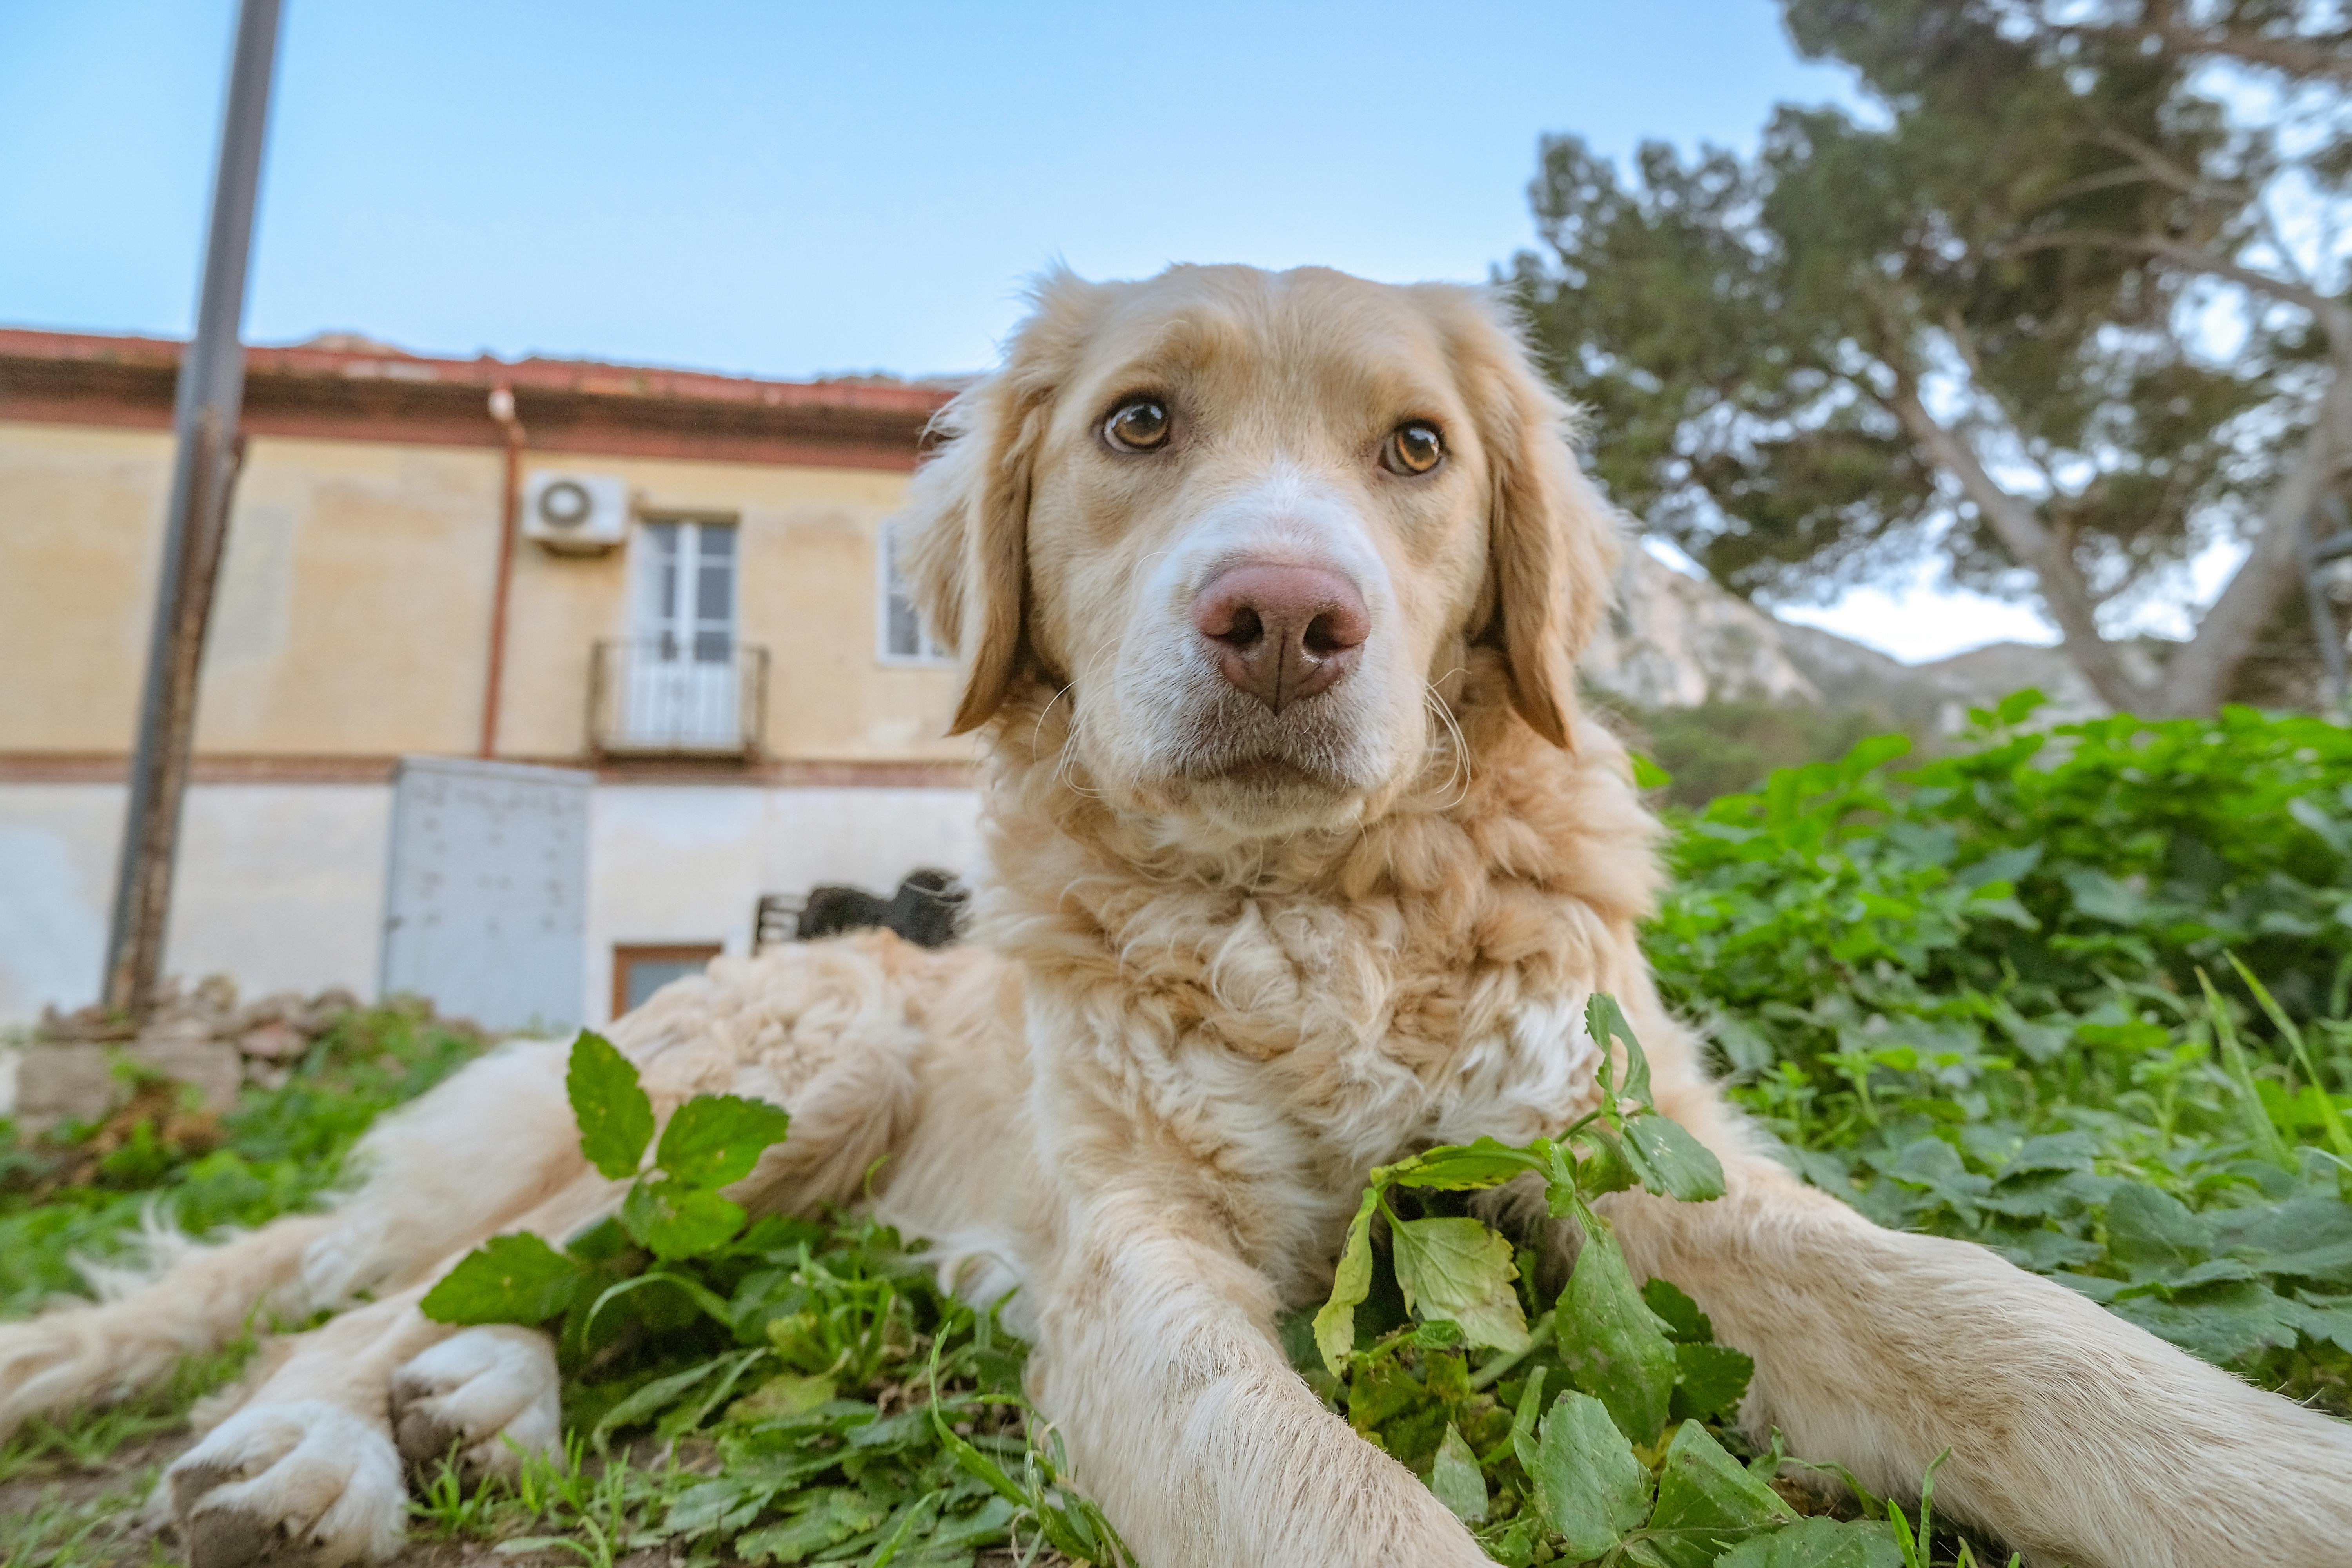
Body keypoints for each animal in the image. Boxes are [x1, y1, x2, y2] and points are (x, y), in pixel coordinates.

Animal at [4, 263, 2352, 1561]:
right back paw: (325, 1444)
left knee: (566, 1288)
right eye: (1139, 423)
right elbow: (1348, 1514)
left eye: (1415, 449)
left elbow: (2038, 1345)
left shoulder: (1652, 1173)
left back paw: (470, 1404)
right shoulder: (1141, 1283)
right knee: (382, 1289)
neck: (1315, 918)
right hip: (775, 1085)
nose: (1284, 617)